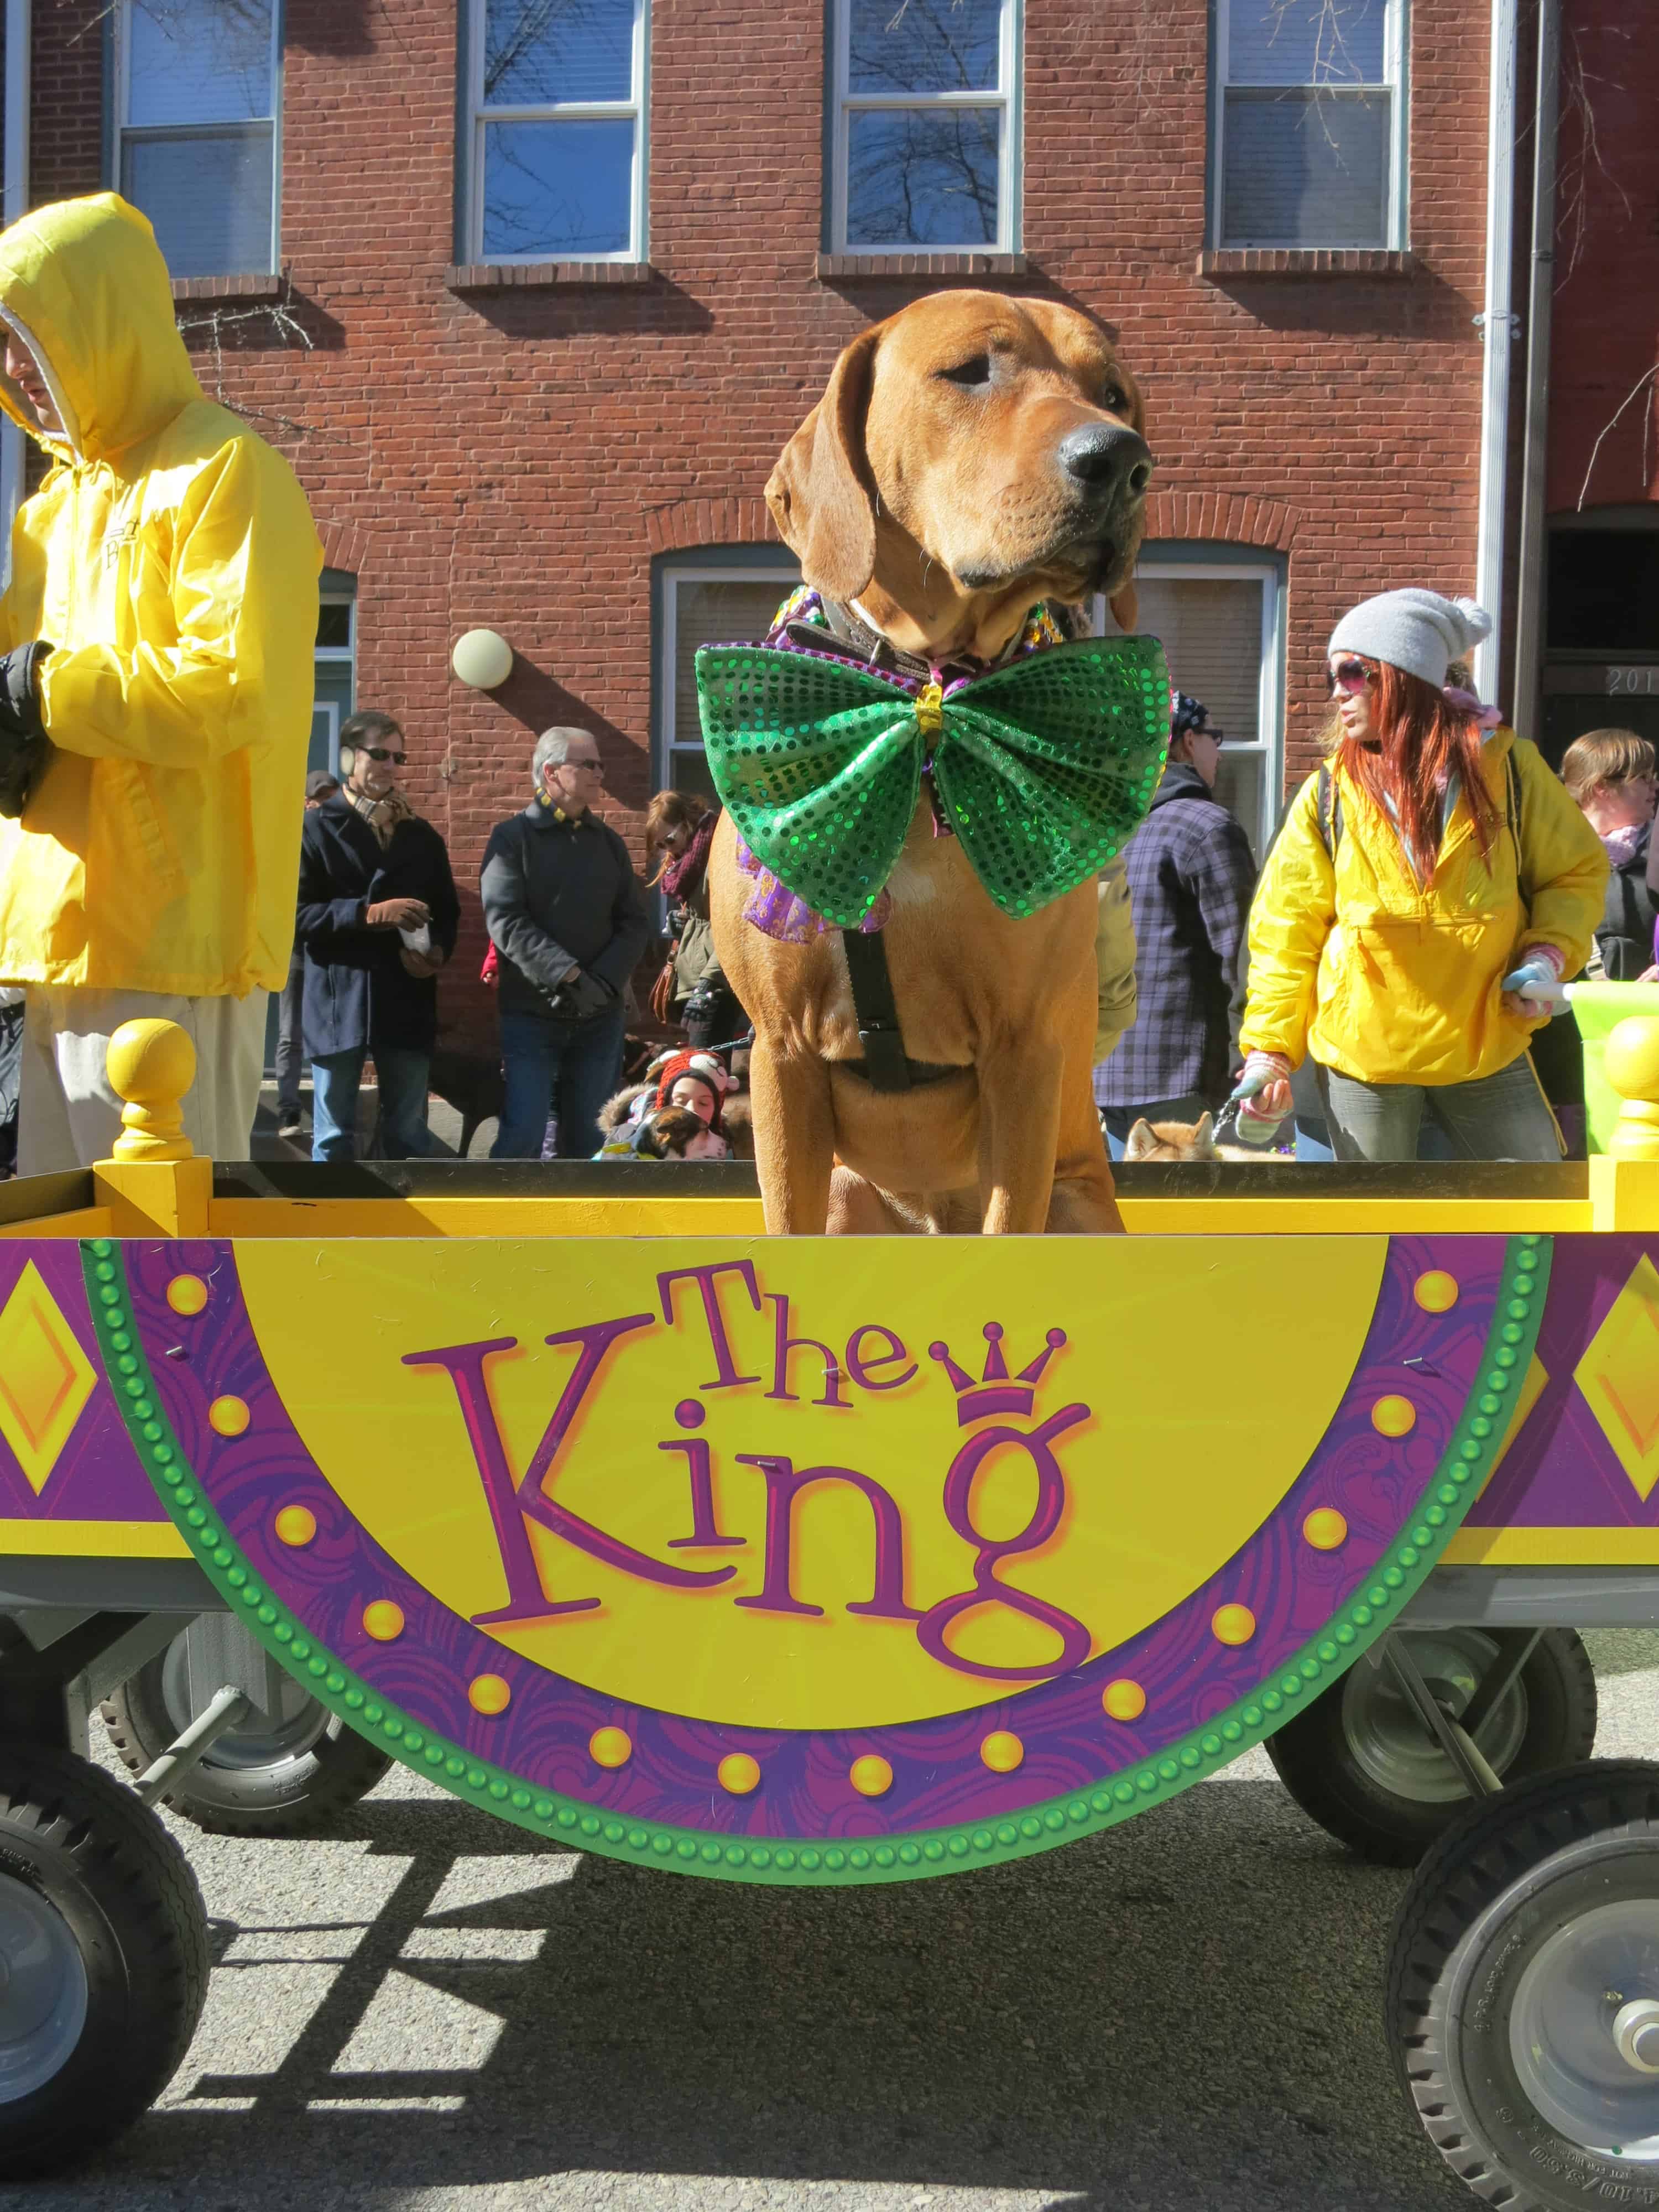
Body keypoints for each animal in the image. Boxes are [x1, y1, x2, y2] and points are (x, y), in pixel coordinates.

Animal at [712, 285, 1159, 1239]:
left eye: (1114, 394)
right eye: (969, 371)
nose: (1121, 460)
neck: (924, 705)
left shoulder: (1026, 1052)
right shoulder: (782, 1052)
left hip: (1080, 1206)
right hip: (850, 1191)